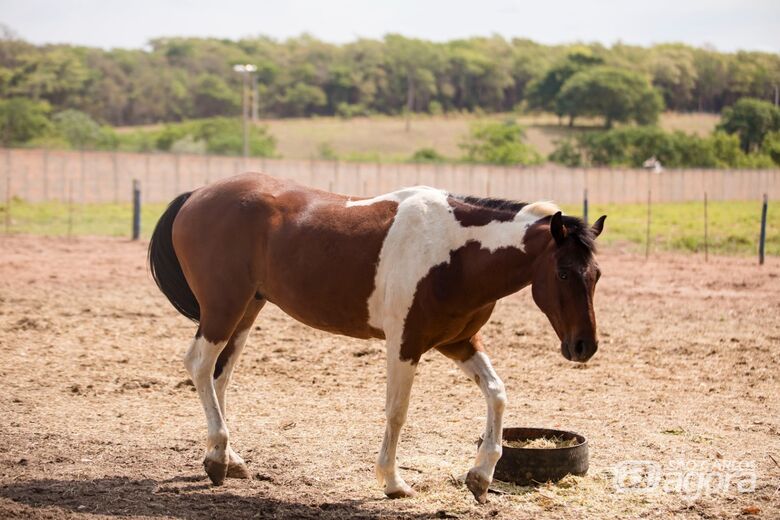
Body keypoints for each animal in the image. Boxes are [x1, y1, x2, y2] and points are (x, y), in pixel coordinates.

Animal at [148, 172, 606, 503]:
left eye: (596, 274)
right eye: (563, 273)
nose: (584, 347)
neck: (456, 253)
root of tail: (197, 195)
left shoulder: (458, 342)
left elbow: (496, 394)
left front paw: (480, 476)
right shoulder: (405, 343)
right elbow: (397, 412)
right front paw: (393, 482)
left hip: (246, 312)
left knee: (219, 376)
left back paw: (231, 460)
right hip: (222, 309)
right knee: (200, 366)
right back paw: (216, 460)